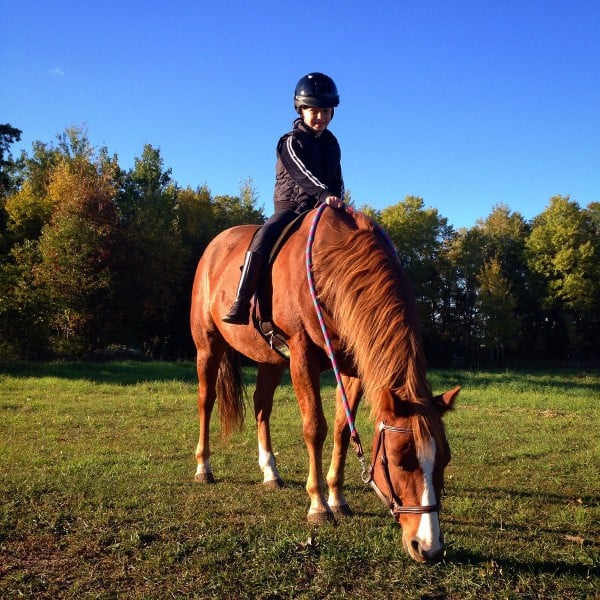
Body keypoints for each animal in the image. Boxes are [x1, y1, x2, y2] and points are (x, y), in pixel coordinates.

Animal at [192, 206, 460, 564]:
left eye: (444, 459)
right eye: (398, 459)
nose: (429, 547)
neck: (331, 263)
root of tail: (215, 245)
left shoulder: (352, 365)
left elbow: (342, 430)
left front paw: (337, 497)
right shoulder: (301, 354)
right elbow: (314, 428)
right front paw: (319, 505)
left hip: (270, 359)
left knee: (262, 406)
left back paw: (270, 472)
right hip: (208, 346)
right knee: (206, 401)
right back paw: (203, 468)